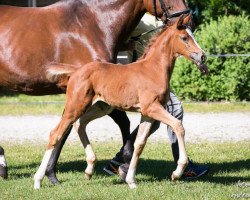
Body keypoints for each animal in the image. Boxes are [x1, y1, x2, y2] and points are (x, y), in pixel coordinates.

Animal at [34, 14, 208, 189]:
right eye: (184, 37)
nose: (202, 56)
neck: (153, 69)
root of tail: (77, 71)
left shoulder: (147, 114)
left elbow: (139, 144)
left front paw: (131, 181)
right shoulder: (152, 108)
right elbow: (178, 126)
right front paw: (177, 172)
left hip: (101, 107)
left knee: (80, 124)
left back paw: (89, 168)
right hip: (76, 105)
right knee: (56, 133)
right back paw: (38, 180)